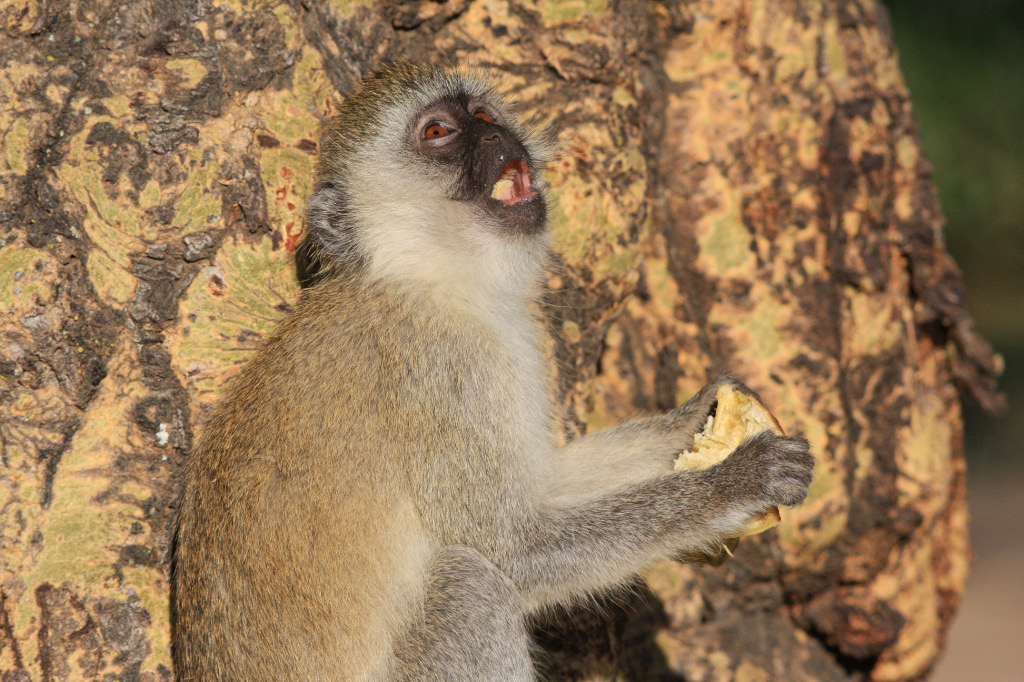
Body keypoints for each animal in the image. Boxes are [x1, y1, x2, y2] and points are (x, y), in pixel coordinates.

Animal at [176, 63, 815, 679]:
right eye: (438, 131)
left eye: (483, 114)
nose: (495, 136)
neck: (429, 276)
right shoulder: (442, 365)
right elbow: (511, 547)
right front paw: (732, 483)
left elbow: (546, 484)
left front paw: (699, 417)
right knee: (468, 584)